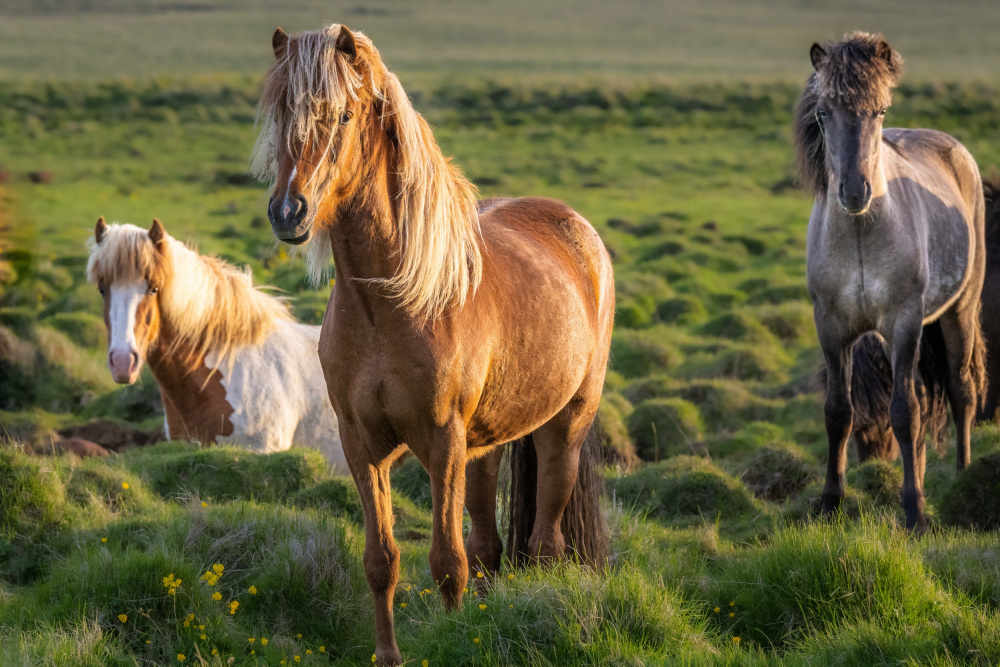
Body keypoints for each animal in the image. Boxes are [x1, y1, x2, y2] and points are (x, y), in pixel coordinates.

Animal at [253, 25, 612, 664]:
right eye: (282, 111)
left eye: (343, 115)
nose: (288, 211)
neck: (389, 303)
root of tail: (579, 230)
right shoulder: (361, 442)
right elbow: (382, 560)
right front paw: (389, 654)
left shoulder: (443, 440)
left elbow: (447, 561)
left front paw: (452, 641)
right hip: (487, 443)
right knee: (492, 547)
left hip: (564, 427)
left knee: (544, 543)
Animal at [796, 32, 987, 530]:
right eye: (823, 113)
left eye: (879, 112)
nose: (854, 192)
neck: (861, 236)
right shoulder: (832, 328)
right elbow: (838, 413)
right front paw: (830, 502)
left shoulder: (903, 322)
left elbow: (903, 414)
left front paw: (915, 511)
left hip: (958, 311)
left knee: (960, 392)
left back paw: (963, 475)